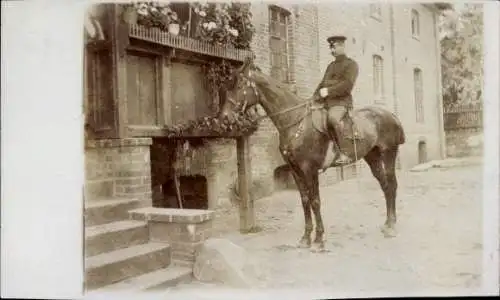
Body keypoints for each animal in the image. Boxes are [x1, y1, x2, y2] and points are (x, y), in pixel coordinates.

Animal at [222, 58, 406, 251]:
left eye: (239, 85)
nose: (225, 117)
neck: (295, 121)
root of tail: (390, 114)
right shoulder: (295, 170)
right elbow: (305, 200)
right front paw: (305, 237)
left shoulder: (310, 169)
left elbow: (315, 201)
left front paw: (319, 238)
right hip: (372, 156)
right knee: (385, 185)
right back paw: (387, 223)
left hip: (389, 153)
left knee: (392, 185)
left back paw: (392, 226)